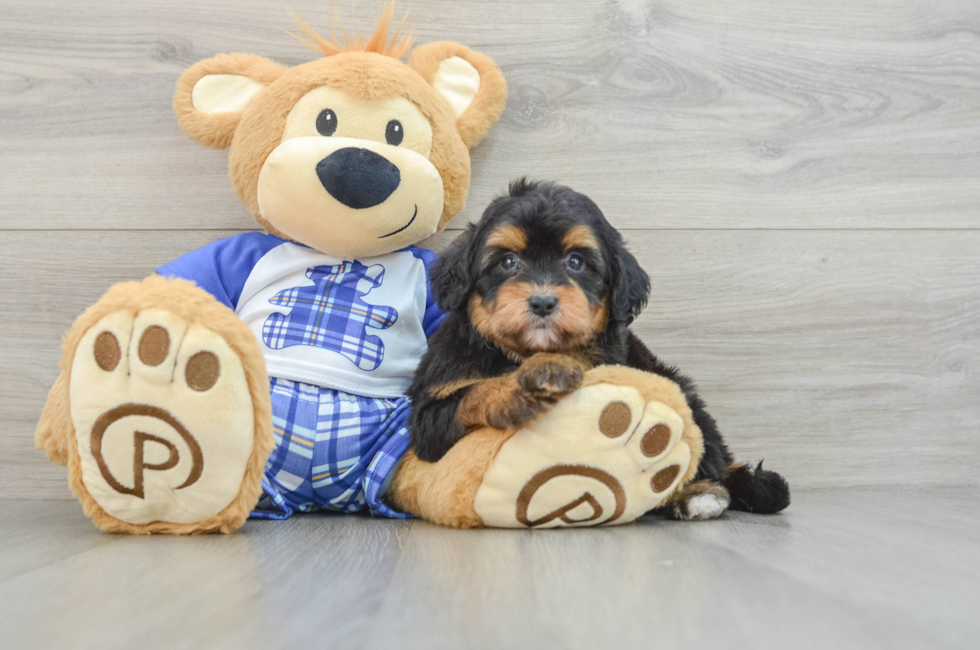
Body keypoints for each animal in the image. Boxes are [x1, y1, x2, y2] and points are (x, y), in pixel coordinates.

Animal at [406, 180, 788, 520]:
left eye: (576, 262)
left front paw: (552, 367)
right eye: (508, 261)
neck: (522, 351)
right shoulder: (430, 412)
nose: (542, 302)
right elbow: (468, 396)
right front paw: (517, 390)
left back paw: (697, 494)